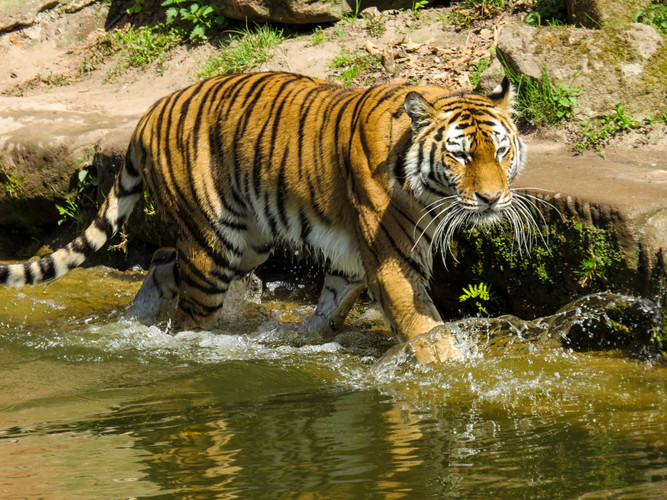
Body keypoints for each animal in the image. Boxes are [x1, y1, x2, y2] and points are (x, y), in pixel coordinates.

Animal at [0, 71, 536, 360]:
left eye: (501, 150)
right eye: (460, 156)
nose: (493, 198)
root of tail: (152, 109)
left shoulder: (355, 259)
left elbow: (332, 304)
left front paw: (303, 337)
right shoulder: (393, 260)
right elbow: (425, 328)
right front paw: (452, 373)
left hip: (248, 242)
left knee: (160, 264)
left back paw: (135, 321)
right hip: (214, 248)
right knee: (188, 313)